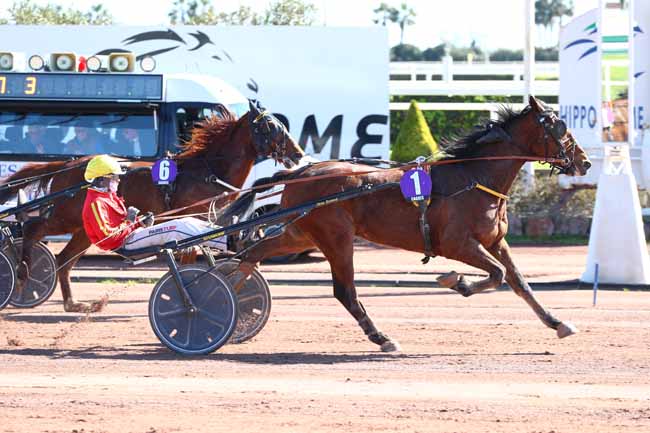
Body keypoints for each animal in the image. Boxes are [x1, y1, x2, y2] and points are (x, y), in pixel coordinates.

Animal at [0, 100, 304, 310]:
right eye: (271, 126)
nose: (299, 153)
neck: (207, 170)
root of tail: (66, 165)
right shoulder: (191, 217)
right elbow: (189, 255)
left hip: (85, 230)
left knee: (64, 260)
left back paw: (73, 303)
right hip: (67, 216)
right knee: (34, 228)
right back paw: (23, 272)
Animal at [225, 95, 588, 352]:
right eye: (559, 128)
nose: (583, 162)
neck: (473, 177)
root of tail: (301, 171)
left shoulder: (496, 241)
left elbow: (518, 281)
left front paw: (557, 322)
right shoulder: (458, 243)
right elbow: (497, 275)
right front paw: (456, 281)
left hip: (301, 234)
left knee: (250, 256)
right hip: (336, 239)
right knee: (345, 291)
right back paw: (381, 337)